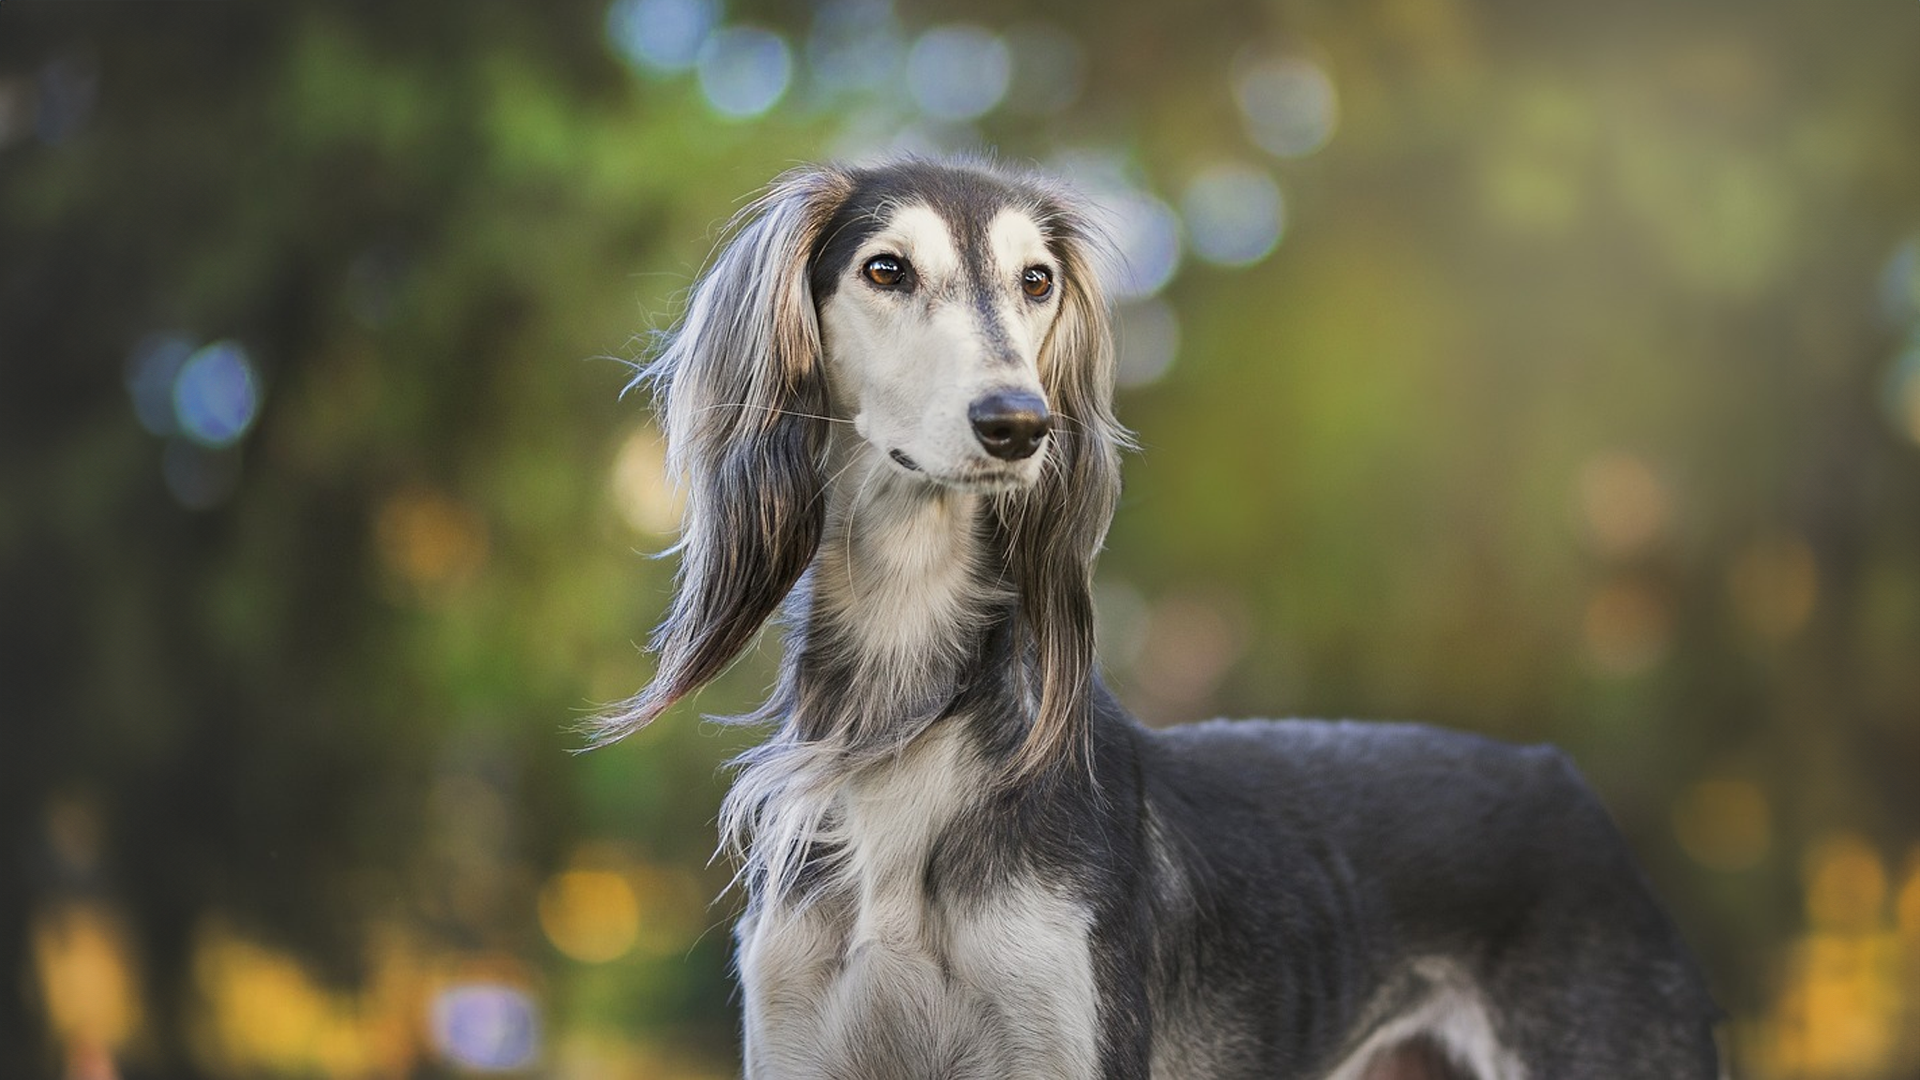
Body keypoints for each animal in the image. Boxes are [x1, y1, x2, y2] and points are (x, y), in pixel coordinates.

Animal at [591, 155, 1720, 1068]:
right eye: (884, 270)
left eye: (1036, 280)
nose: (1019, 424)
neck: (911, 726)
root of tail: (1565, 782)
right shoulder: (801, 1039)